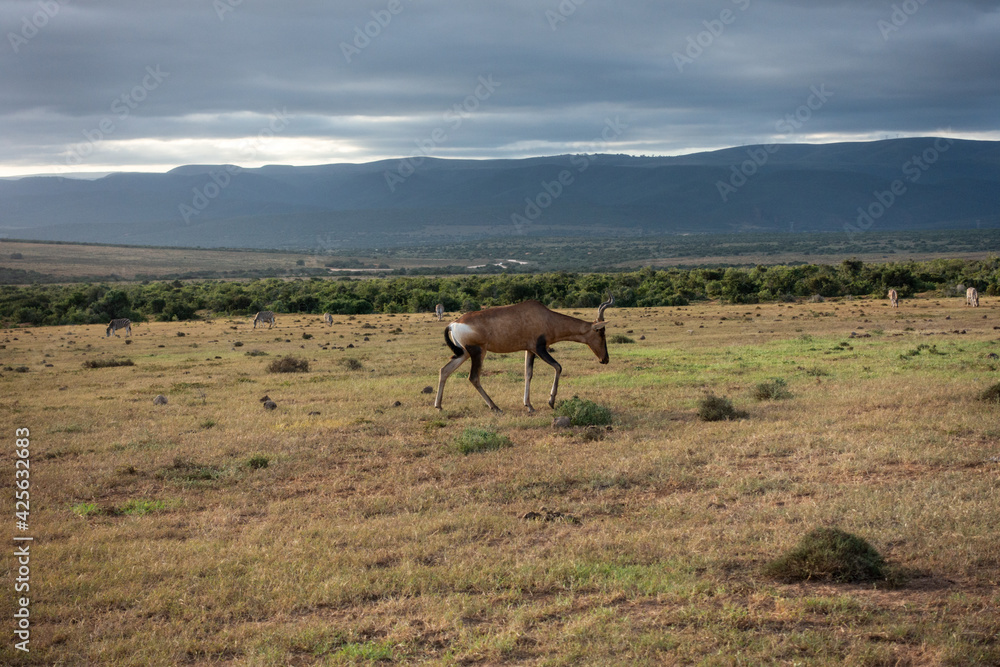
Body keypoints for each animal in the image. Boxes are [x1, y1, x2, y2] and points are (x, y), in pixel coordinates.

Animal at [435, 296, 614, 413]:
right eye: (601, 332)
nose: (605, 359)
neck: (546, 317)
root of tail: (453, 324)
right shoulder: (540, 349)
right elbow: (558, 367)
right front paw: (551, 401)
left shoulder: (530, 350)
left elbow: (528, 374)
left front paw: (529, 405)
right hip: (478, 352)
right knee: (473, 378)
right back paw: (495, 407)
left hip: (464, 353)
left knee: (444, 370)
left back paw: (439, 405)